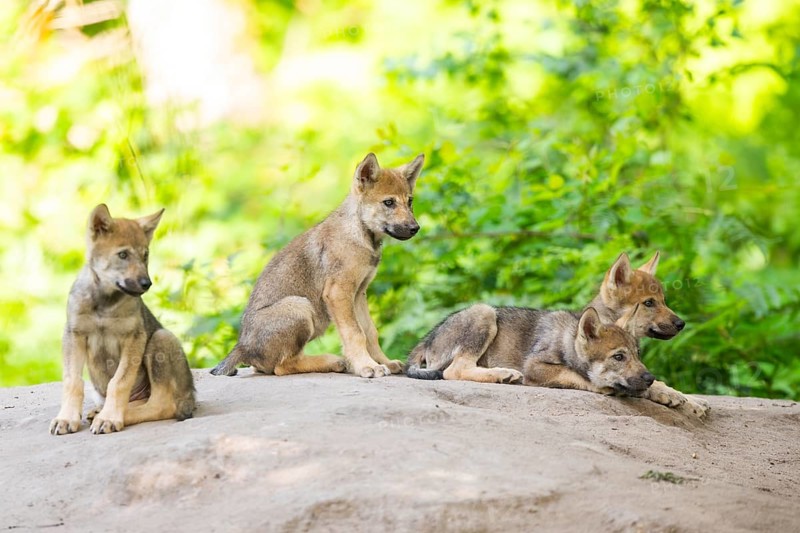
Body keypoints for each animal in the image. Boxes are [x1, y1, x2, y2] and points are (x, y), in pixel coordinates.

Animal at [50, 204, 195, 435]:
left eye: (145, 255)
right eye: (123, 254)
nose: (147, 283)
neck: (104, 304)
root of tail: (191, 397)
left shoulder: (134, 337)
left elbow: (119, 382)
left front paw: (109, 418)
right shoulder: (74, 334)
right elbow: (73, 381)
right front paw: (66, 418)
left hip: (162, 338)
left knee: (161, 404)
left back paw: (111, 415)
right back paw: (100, 412)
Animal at [211, 152, 424, 379]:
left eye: (410, 201)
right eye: (389, 202)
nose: (415, 228)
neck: (360, 234)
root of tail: (242, 346)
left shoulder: (358, 294)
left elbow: (370, 332)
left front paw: (384, 362)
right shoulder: (339, 293)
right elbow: (355, 333)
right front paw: (367, 366)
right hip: (300, 306)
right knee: (282, 366)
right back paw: (333, 361)